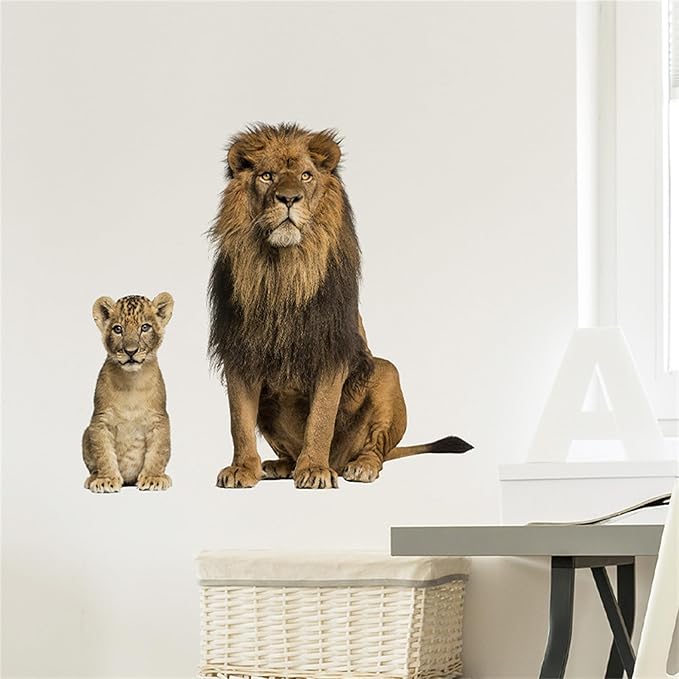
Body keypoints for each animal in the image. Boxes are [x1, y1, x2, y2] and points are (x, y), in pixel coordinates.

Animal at [83, 293, 174, 492]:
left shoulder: (159, 420)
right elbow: (104, 454)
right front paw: (106, 479)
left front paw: (153, 478)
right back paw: (93, 478)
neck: (131, 382)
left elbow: (157, 452)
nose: (130, 351)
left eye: (145, 327)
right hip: (86, 433)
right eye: (118, 329)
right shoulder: (100, 421)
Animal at [208, 123, 471, 489]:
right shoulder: (240, 352)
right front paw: (242, 469)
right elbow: (239, 422)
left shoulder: (332, 351)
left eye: (306, 175)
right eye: (267, 176)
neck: (284, 270)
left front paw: (315, 470)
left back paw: (357, 466)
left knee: (375, 449)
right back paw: (279, 465)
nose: (288, 199)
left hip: (386, 372)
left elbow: (321, 419)